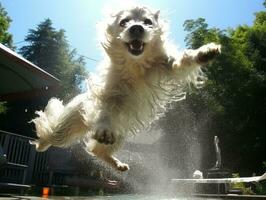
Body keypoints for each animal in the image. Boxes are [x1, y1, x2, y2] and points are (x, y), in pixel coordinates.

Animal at [31, 6, 221, 172]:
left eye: (147, 22)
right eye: (124, 22)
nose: (136, 28)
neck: (136, 65)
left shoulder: (168, 66)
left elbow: (184, 60)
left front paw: (203, 53)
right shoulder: (110, 94)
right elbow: (106, 110)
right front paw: (105, 127)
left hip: (120, 133)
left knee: (97, 150)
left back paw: (116, 163)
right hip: (68, 126)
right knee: (51, 133)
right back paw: (41, 144)